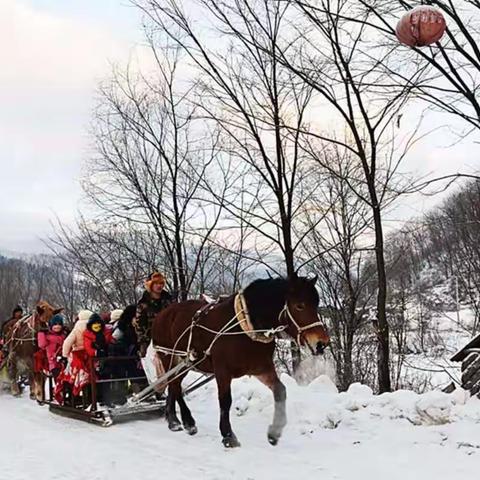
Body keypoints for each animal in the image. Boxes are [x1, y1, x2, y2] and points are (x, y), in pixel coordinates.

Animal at [151, 276, 330, 448]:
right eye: (299, 305)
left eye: (316, 305)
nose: (322, 343)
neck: (245, 325)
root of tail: (162, 314)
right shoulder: (222, 371)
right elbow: (225, 401)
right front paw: (228, 435)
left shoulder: (261, 368)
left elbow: (280, 391)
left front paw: (274, 432)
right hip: (169, 356)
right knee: (174, 384)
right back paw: (185, 421)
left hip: (186, 363)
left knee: (174, 385)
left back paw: (174, 419)